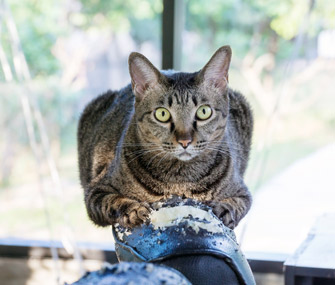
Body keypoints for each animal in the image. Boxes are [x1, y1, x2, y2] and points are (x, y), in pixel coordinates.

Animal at [77, 46, 253, 229]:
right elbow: (114, 201)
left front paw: (224, 210)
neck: (180, 181)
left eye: (204, 111)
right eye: (162, 114)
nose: (185, 141)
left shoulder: (243, 192)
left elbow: (237, 204)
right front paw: (134, 210)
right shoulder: (96, 190)